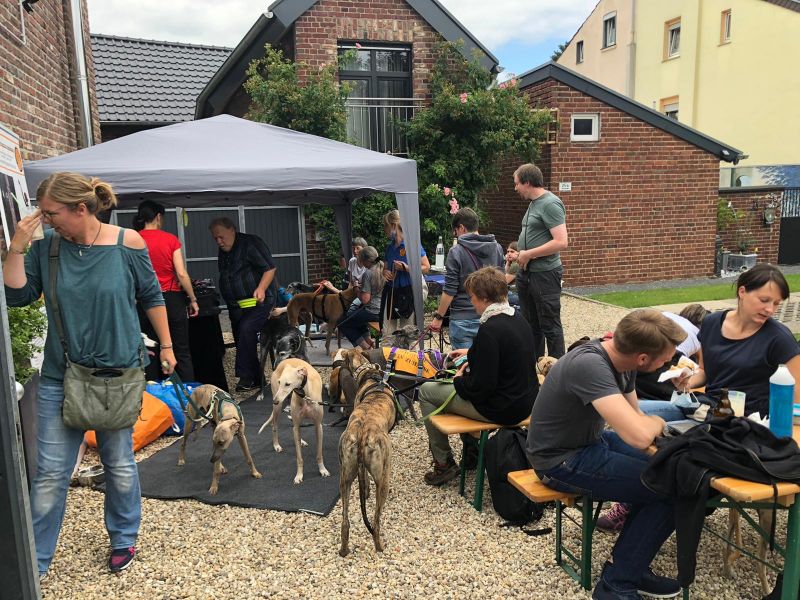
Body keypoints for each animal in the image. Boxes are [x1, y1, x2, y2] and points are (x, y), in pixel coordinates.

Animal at [338, 349, 396, 556]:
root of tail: (362, 434)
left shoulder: (359, 468)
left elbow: (364, 479)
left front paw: (365, 492)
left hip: (345, 477)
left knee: (345, 522)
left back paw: (344, 550)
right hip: (384, 478)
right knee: (376, 521)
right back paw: (379, 547)